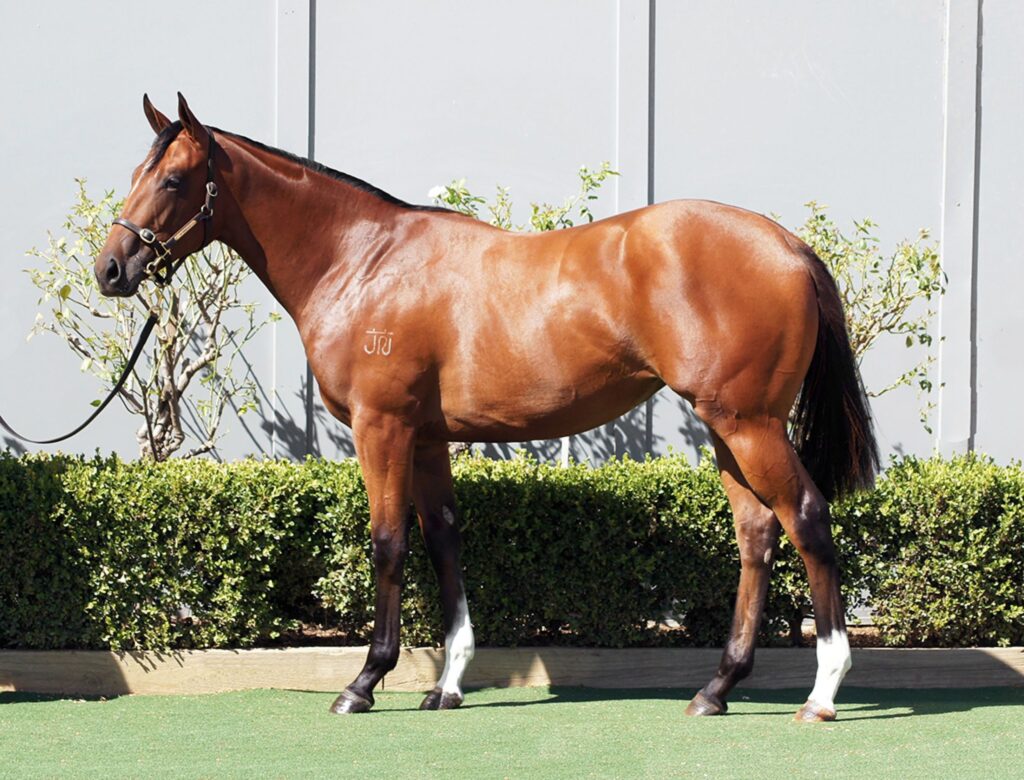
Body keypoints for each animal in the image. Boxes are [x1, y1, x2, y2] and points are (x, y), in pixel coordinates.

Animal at [97, 94, 880, 720]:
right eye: (136, 175)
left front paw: (364, 682)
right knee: (757, 532)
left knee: (806, 518)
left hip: (749, 426)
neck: (364, 261)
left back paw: (822, 694)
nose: (110, 268)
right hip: (728, 427)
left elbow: (389, 543)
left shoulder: (382, 428)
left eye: (172, 179)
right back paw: (715, 690)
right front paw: (445, 684)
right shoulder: (426, 437)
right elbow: (444, 539)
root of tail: (789, 246)